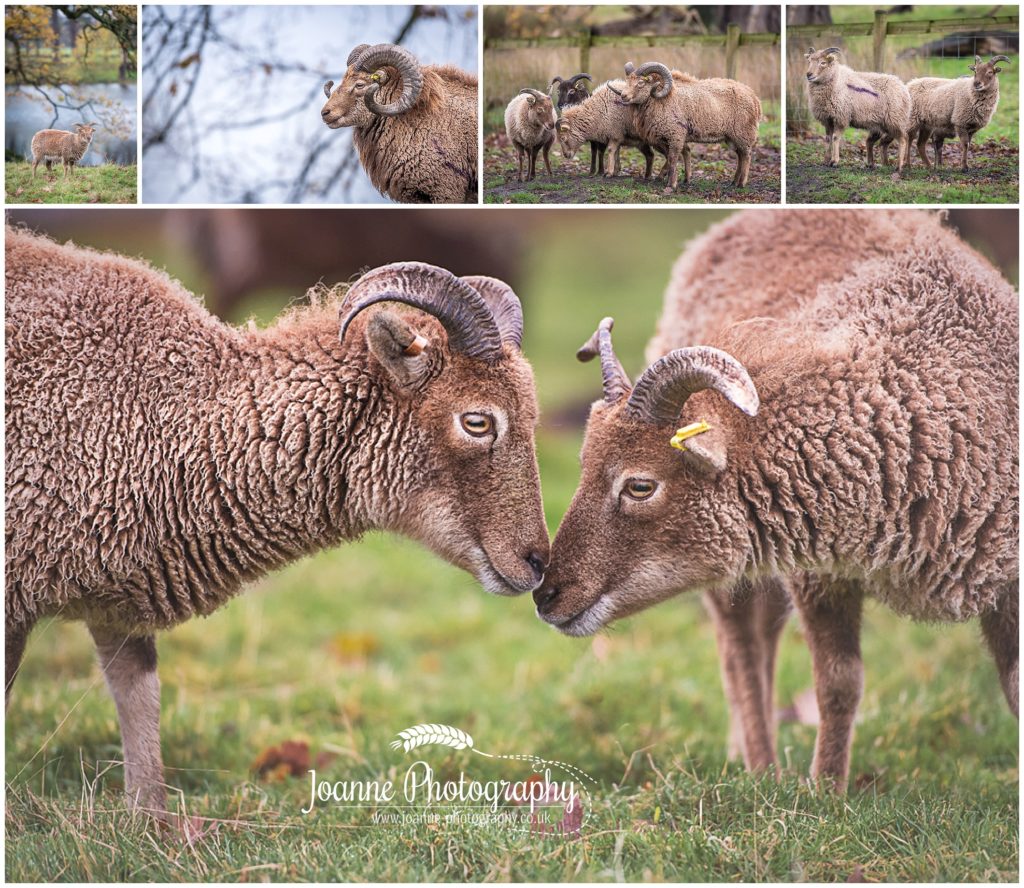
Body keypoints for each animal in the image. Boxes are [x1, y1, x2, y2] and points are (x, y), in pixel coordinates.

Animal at [536, 209, 1015, 790]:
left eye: (640, 485)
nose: (546, 593)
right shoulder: (819, 567)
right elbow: (839, 682)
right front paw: (827, 791)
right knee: (741, 642)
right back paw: (761, 766)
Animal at [606, 62, 761, 194]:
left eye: (641, 83)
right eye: (627, 81)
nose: (623, 96)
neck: (660, 100)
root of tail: (754, 97)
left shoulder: (676, 134)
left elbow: (673, 158)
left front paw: (671, 184)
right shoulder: (665, 137)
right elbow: (671, 158)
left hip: (743, 132)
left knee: (747, 155)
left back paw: (741, 184)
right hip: (733, 136)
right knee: (740, 156)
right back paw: (734, 182)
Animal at [798, 46, 913, 174]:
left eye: (823, 63)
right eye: (809, 61)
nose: (809, 74)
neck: (835, 79)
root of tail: (903, 87)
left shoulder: (841, 116)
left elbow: (835, 137)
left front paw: (834, 161)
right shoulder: (828, 119)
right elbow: (828, 139)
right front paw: (826, 160)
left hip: (895, 120)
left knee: (903, 139)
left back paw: (899, 167)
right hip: (880, 125)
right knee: (871, 141)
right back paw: (871, 164)